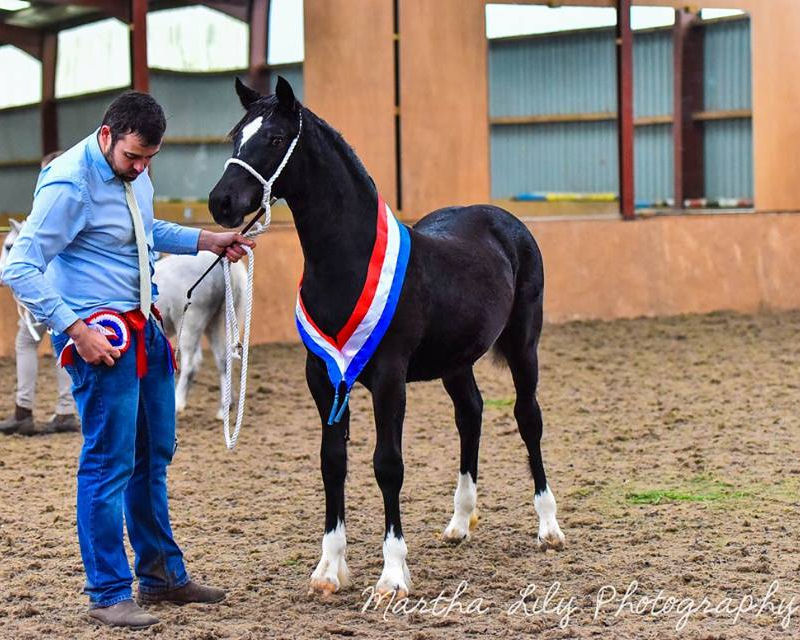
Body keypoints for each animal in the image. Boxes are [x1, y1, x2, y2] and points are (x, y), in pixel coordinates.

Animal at [153, 252, 245, 422]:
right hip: (215, 322)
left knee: (190, 364)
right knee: (223, 360)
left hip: (190, 321)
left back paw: (177, 404)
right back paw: (224, 409)